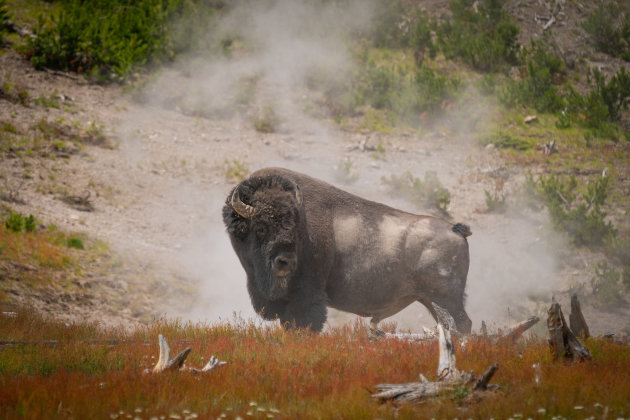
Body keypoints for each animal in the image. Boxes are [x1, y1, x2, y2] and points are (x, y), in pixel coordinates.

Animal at [223, 166, 474, 334]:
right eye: (260, 227)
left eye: (295, 228)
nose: (286, 261)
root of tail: (455, 230)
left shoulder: (306, 296)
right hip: (432, 300)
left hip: (447, 299)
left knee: (463, 324)